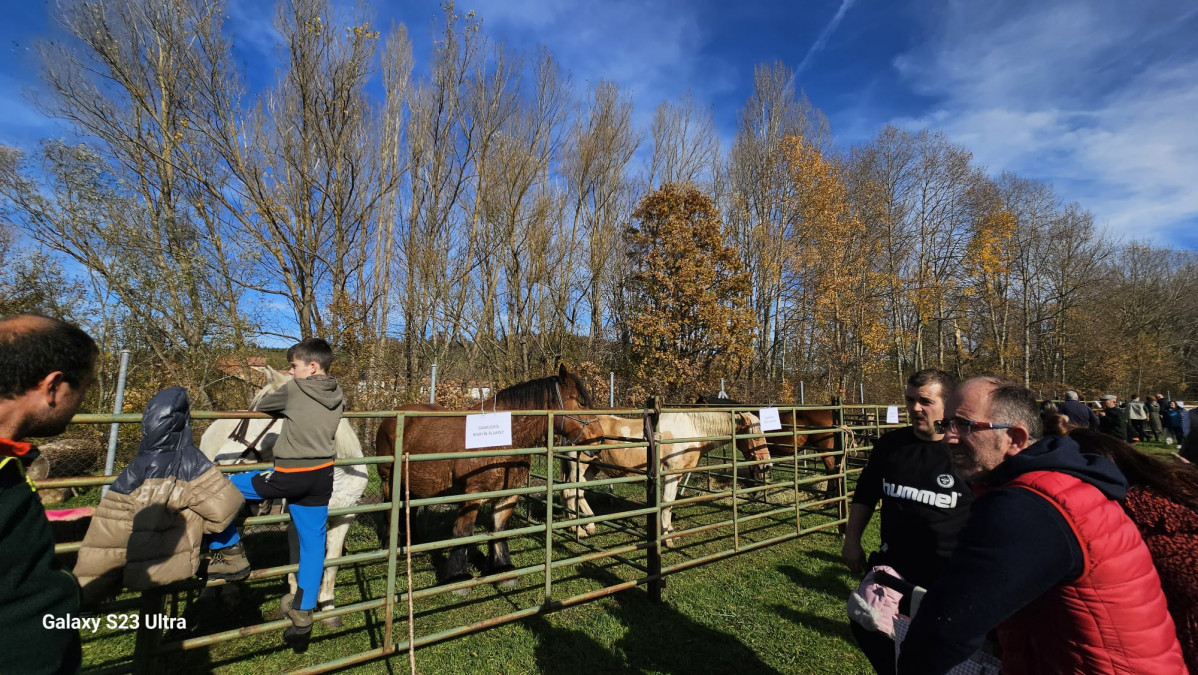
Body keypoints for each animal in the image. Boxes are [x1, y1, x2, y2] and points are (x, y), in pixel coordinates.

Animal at [198, 366, 366, 628]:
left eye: (265, 413)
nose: (221, 461)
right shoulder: (296, 522)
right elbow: (299, 560)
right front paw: (295, 606)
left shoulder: (344, 518)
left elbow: (332, 562)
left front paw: (329, 610)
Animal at [373, 364, 594, 587]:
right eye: (581, 402)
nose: (597, 440)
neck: (503, 438)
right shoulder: (472, 494)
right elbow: (462, 532)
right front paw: (458, 577)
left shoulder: (508, 494)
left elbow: (499, 528)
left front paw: (503, 569)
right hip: (388, 481)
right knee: (390, 513)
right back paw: (389, 548)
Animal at [567, 412, 771, 549]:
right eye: (754, 435)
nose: (767, 465)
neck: (692, 430)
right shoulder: (672, 475)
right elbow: (667, 504)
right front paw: (668, 539)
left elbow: (669, 505)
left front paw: (670, 532)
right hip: (579, 466)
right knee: (571, 493)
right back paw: (579, 530)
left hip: (591, 468)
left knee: (578, 493)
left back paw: (586, 527)